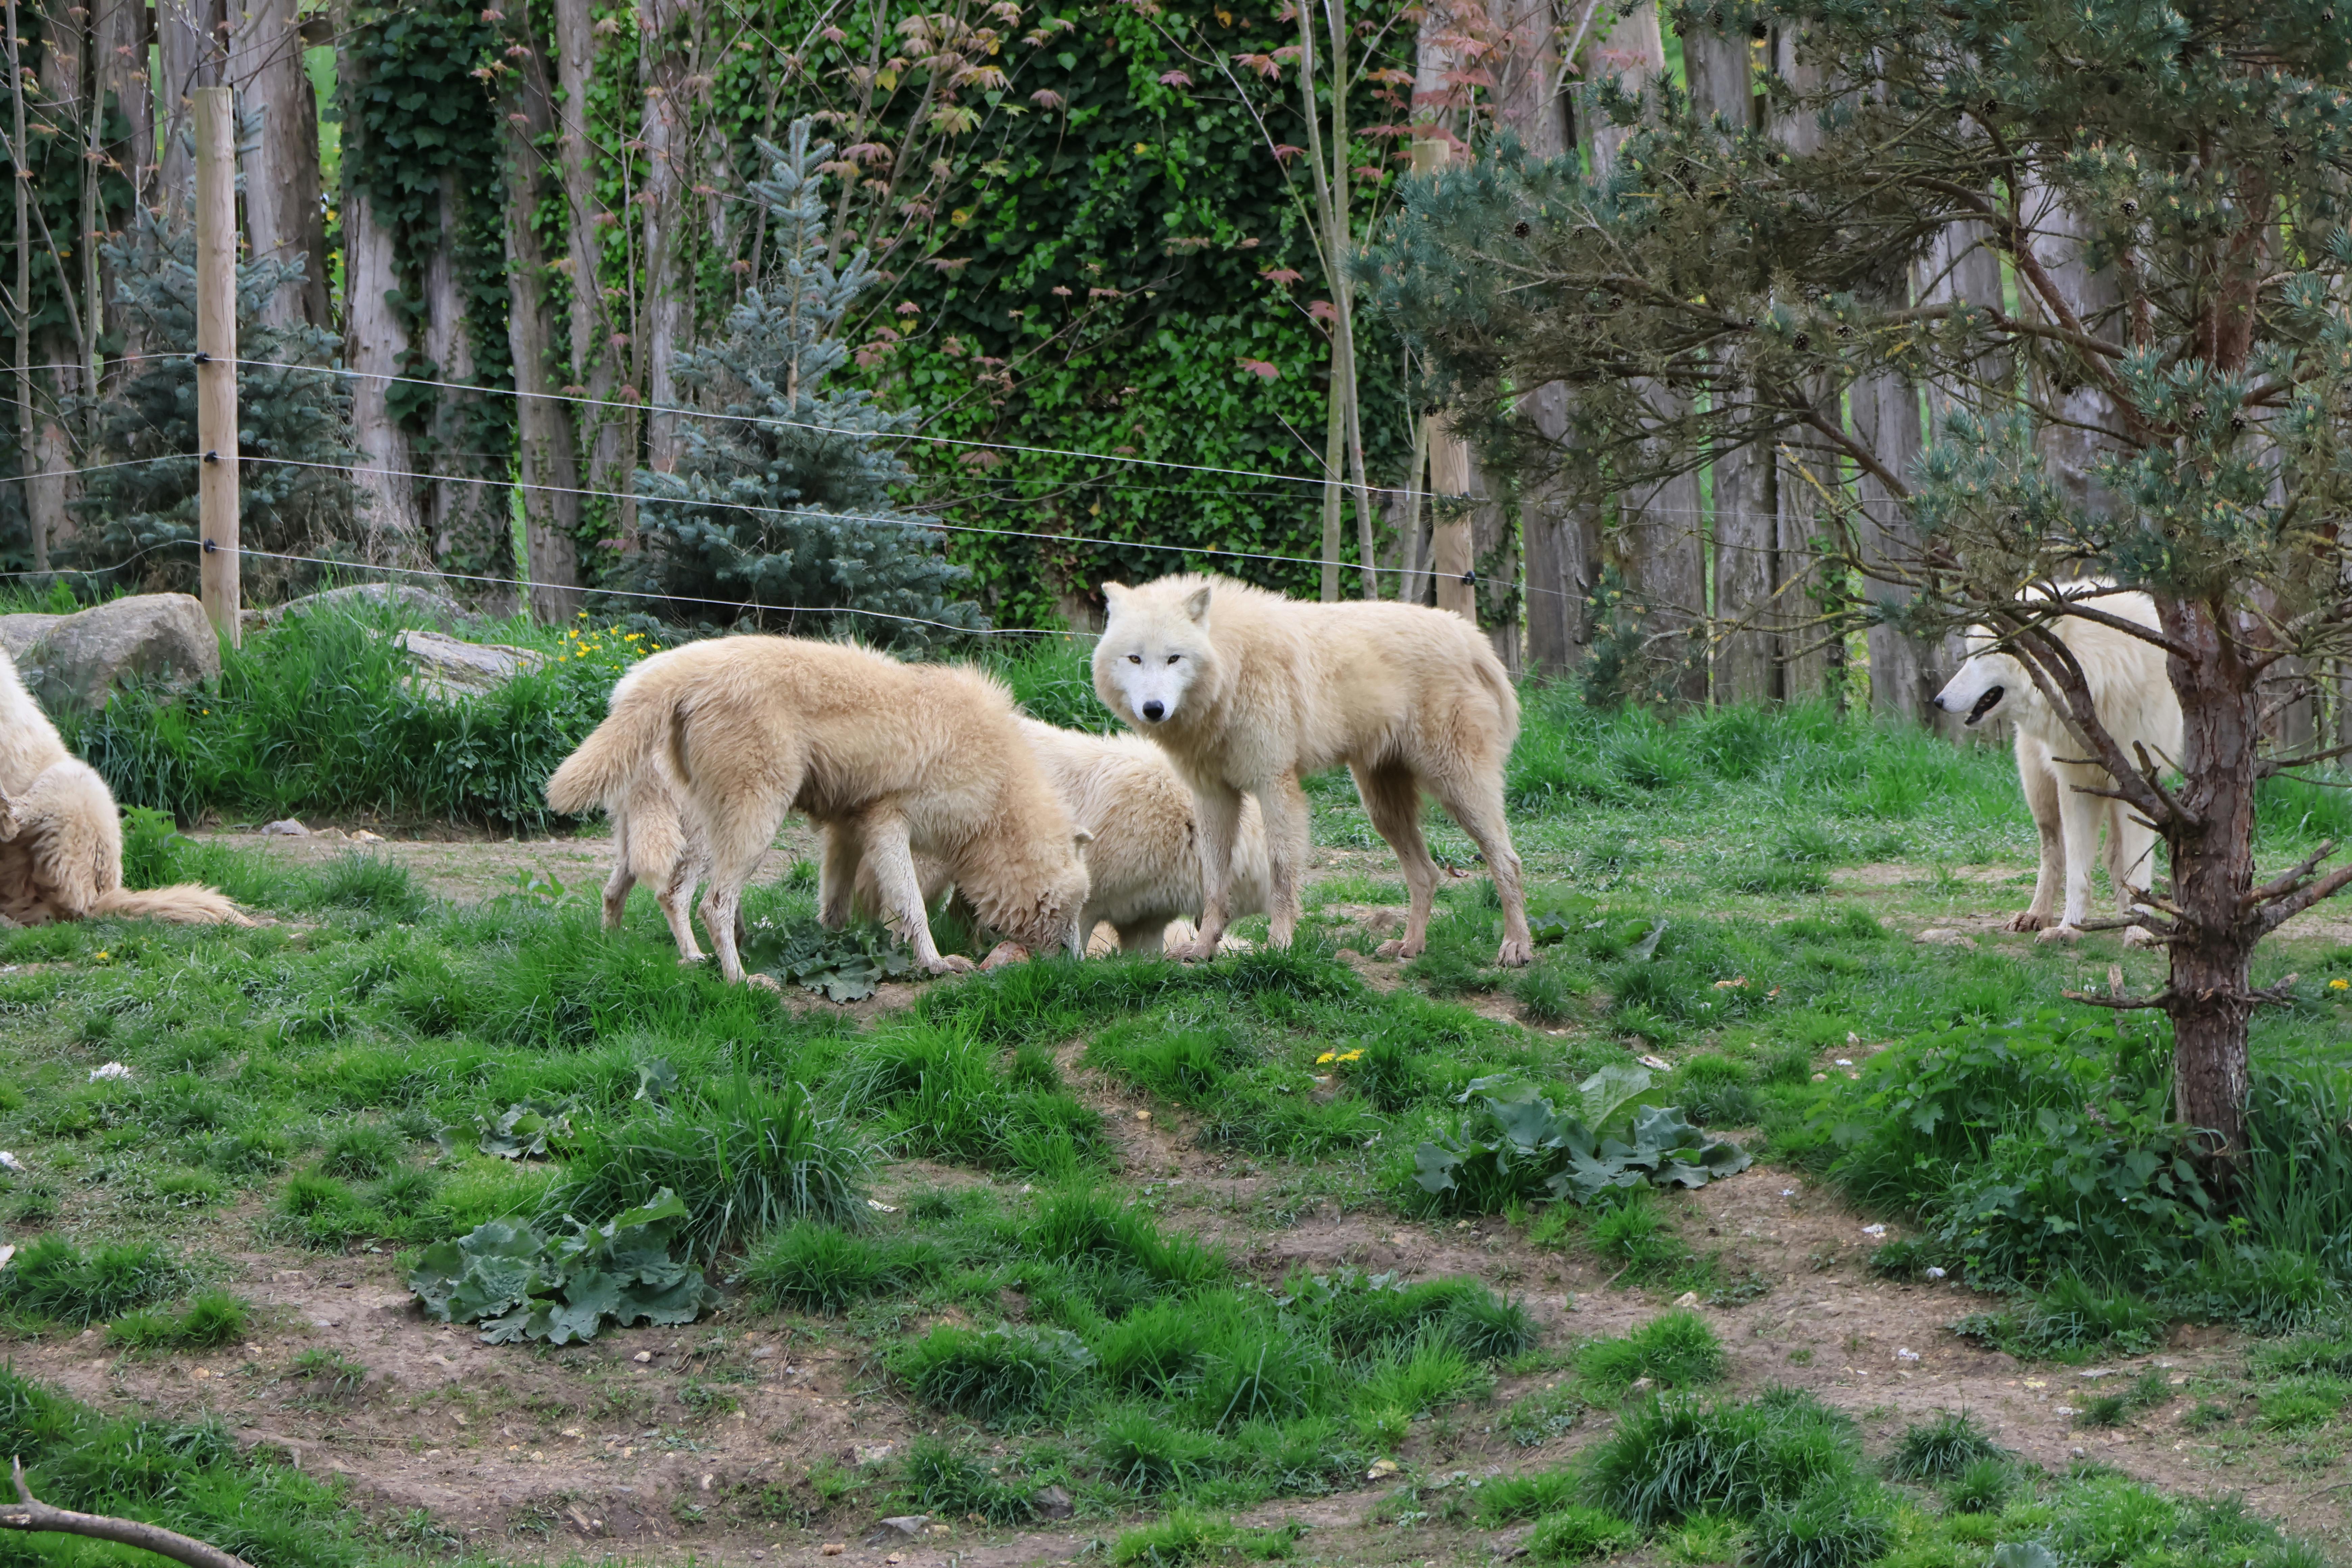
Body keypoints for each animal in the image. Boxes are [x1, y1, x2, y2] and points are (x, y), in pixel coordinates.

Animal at [546, 636, 1092, 983]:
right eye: (1072, 912)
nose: (1078, 964)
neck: (999, 801)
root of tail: (673, 670)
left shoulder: (848, 831)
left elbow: (835, 909)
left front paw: (832, 948)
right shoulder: (889, 825)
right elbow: (912, 906)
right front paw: (936, 965)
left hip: (704, 829)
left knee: (622, 891)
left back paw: (617, 948)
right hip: (749, 824)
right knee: (701, 902)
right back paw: (737, 978)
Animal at [1093, 574, 1532, 966]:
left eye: (1174, 658)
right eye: (1135, 658)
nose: (1153, 709)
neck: (1232, 668)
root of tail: (1471, 637)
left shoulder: (1275, 785)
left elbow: (1282, 873)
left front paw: (1279, 946)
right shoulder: (1212, 795)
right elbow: (1214, 882)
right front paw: (1202, 950)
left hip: (1457, 790)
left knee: (1508, 861)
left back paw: (1516, 948)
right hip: (1383, 809)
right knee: (1427, 874)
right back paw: (1410, 945)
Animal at [1930, 587, 2182, 945]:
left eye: (1983, 656)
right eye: (1969, 655)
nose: (1938, 701)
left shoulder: (2140, 784)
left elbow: (2136, 869)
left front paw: (2139, 931)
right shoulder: (2073, 783)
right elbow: (2077, 870)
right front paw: (2068, 928)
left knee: (2114, 856)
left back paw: (2124, 916)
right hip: (2041, 791)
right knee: (2054, 852)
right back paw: (2036, 915)